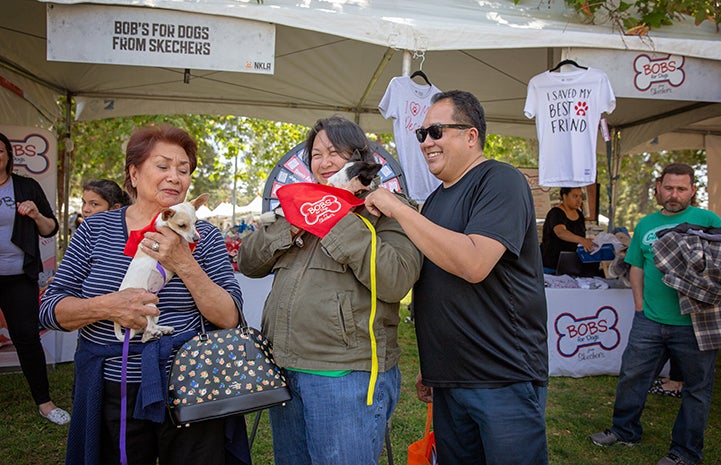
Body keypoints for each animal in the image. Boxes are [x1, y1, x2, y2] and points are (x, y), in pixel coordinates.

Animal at [113, 192, 208, 340]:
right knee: (147, 331)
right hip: (148, 305)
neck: (162, 225)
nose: (197, 238)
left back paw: (163, 329)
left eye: (196, 222)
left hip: (154, 310)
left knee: (146, 331)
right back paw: (157, 331)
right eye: (182, 226)